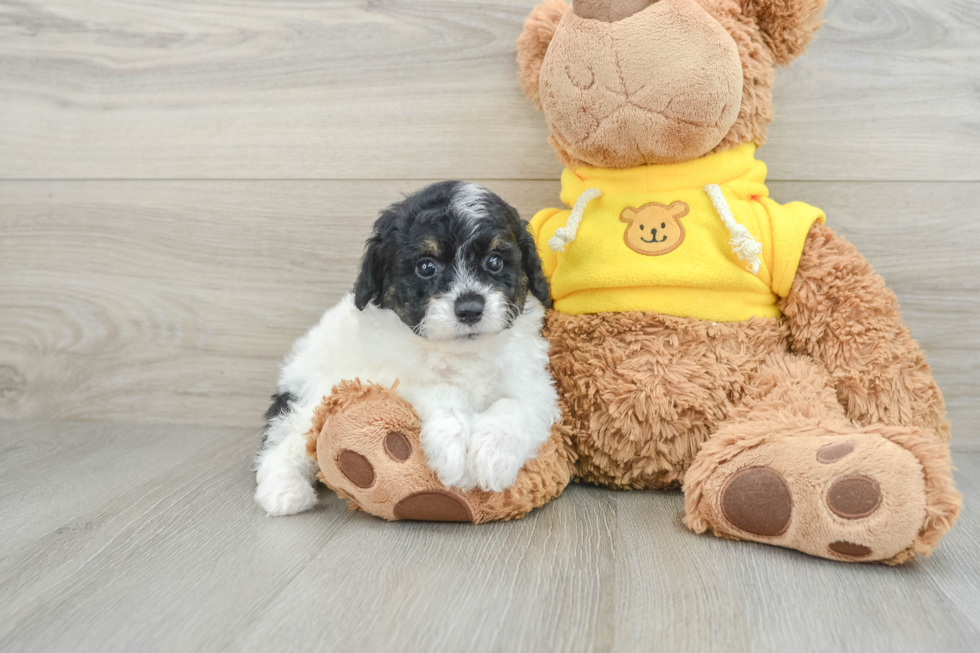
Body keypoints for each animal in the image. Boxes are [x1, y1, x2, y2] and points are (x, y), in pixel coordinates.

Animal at [253, 180, 560, 516]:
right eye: (426, 267)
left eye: (494, 262)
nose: (470, 309)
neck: (461, 353)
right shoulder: (386, 375)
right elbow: (440, 389)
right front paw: (453, 450)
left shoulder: (534, 384)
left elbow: (514, 404)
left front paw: (493, 455)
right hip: (310, 395)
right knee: (283, 446)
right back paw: (284, 492)